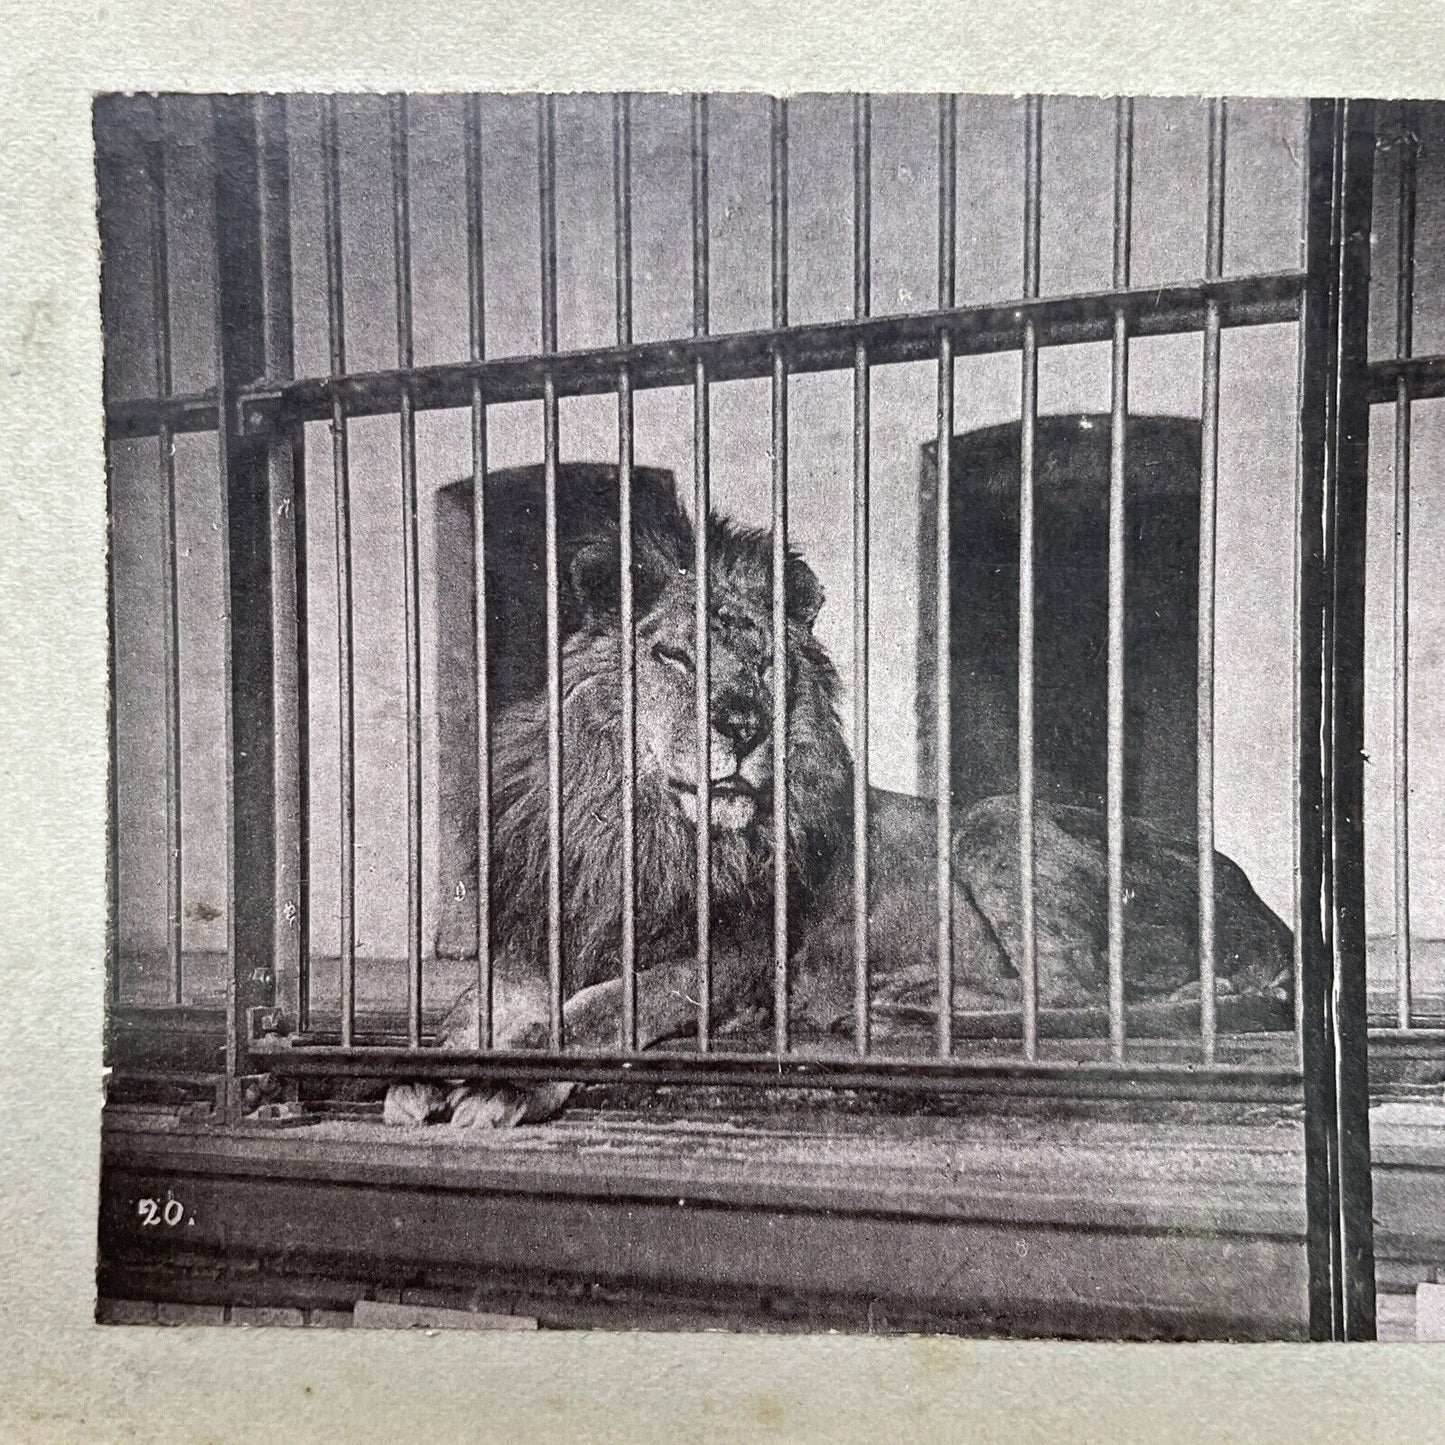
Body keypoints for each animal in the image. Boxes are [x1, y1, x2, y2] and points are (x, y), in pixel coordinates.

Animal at [381, 485, 1288, 1127]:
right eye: (674, 656)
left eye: (765, 664)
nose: (741, 725)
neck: (645, 826)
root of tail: (1269, 917)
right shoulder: (543, 930)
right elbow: (472, 1007)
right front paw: (424, 1069)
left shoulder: (738, 957)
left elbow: (603, 1007)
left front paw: (505, 1082)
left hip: (991, 816)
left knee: (1079, 996)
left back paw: (896, 1001)